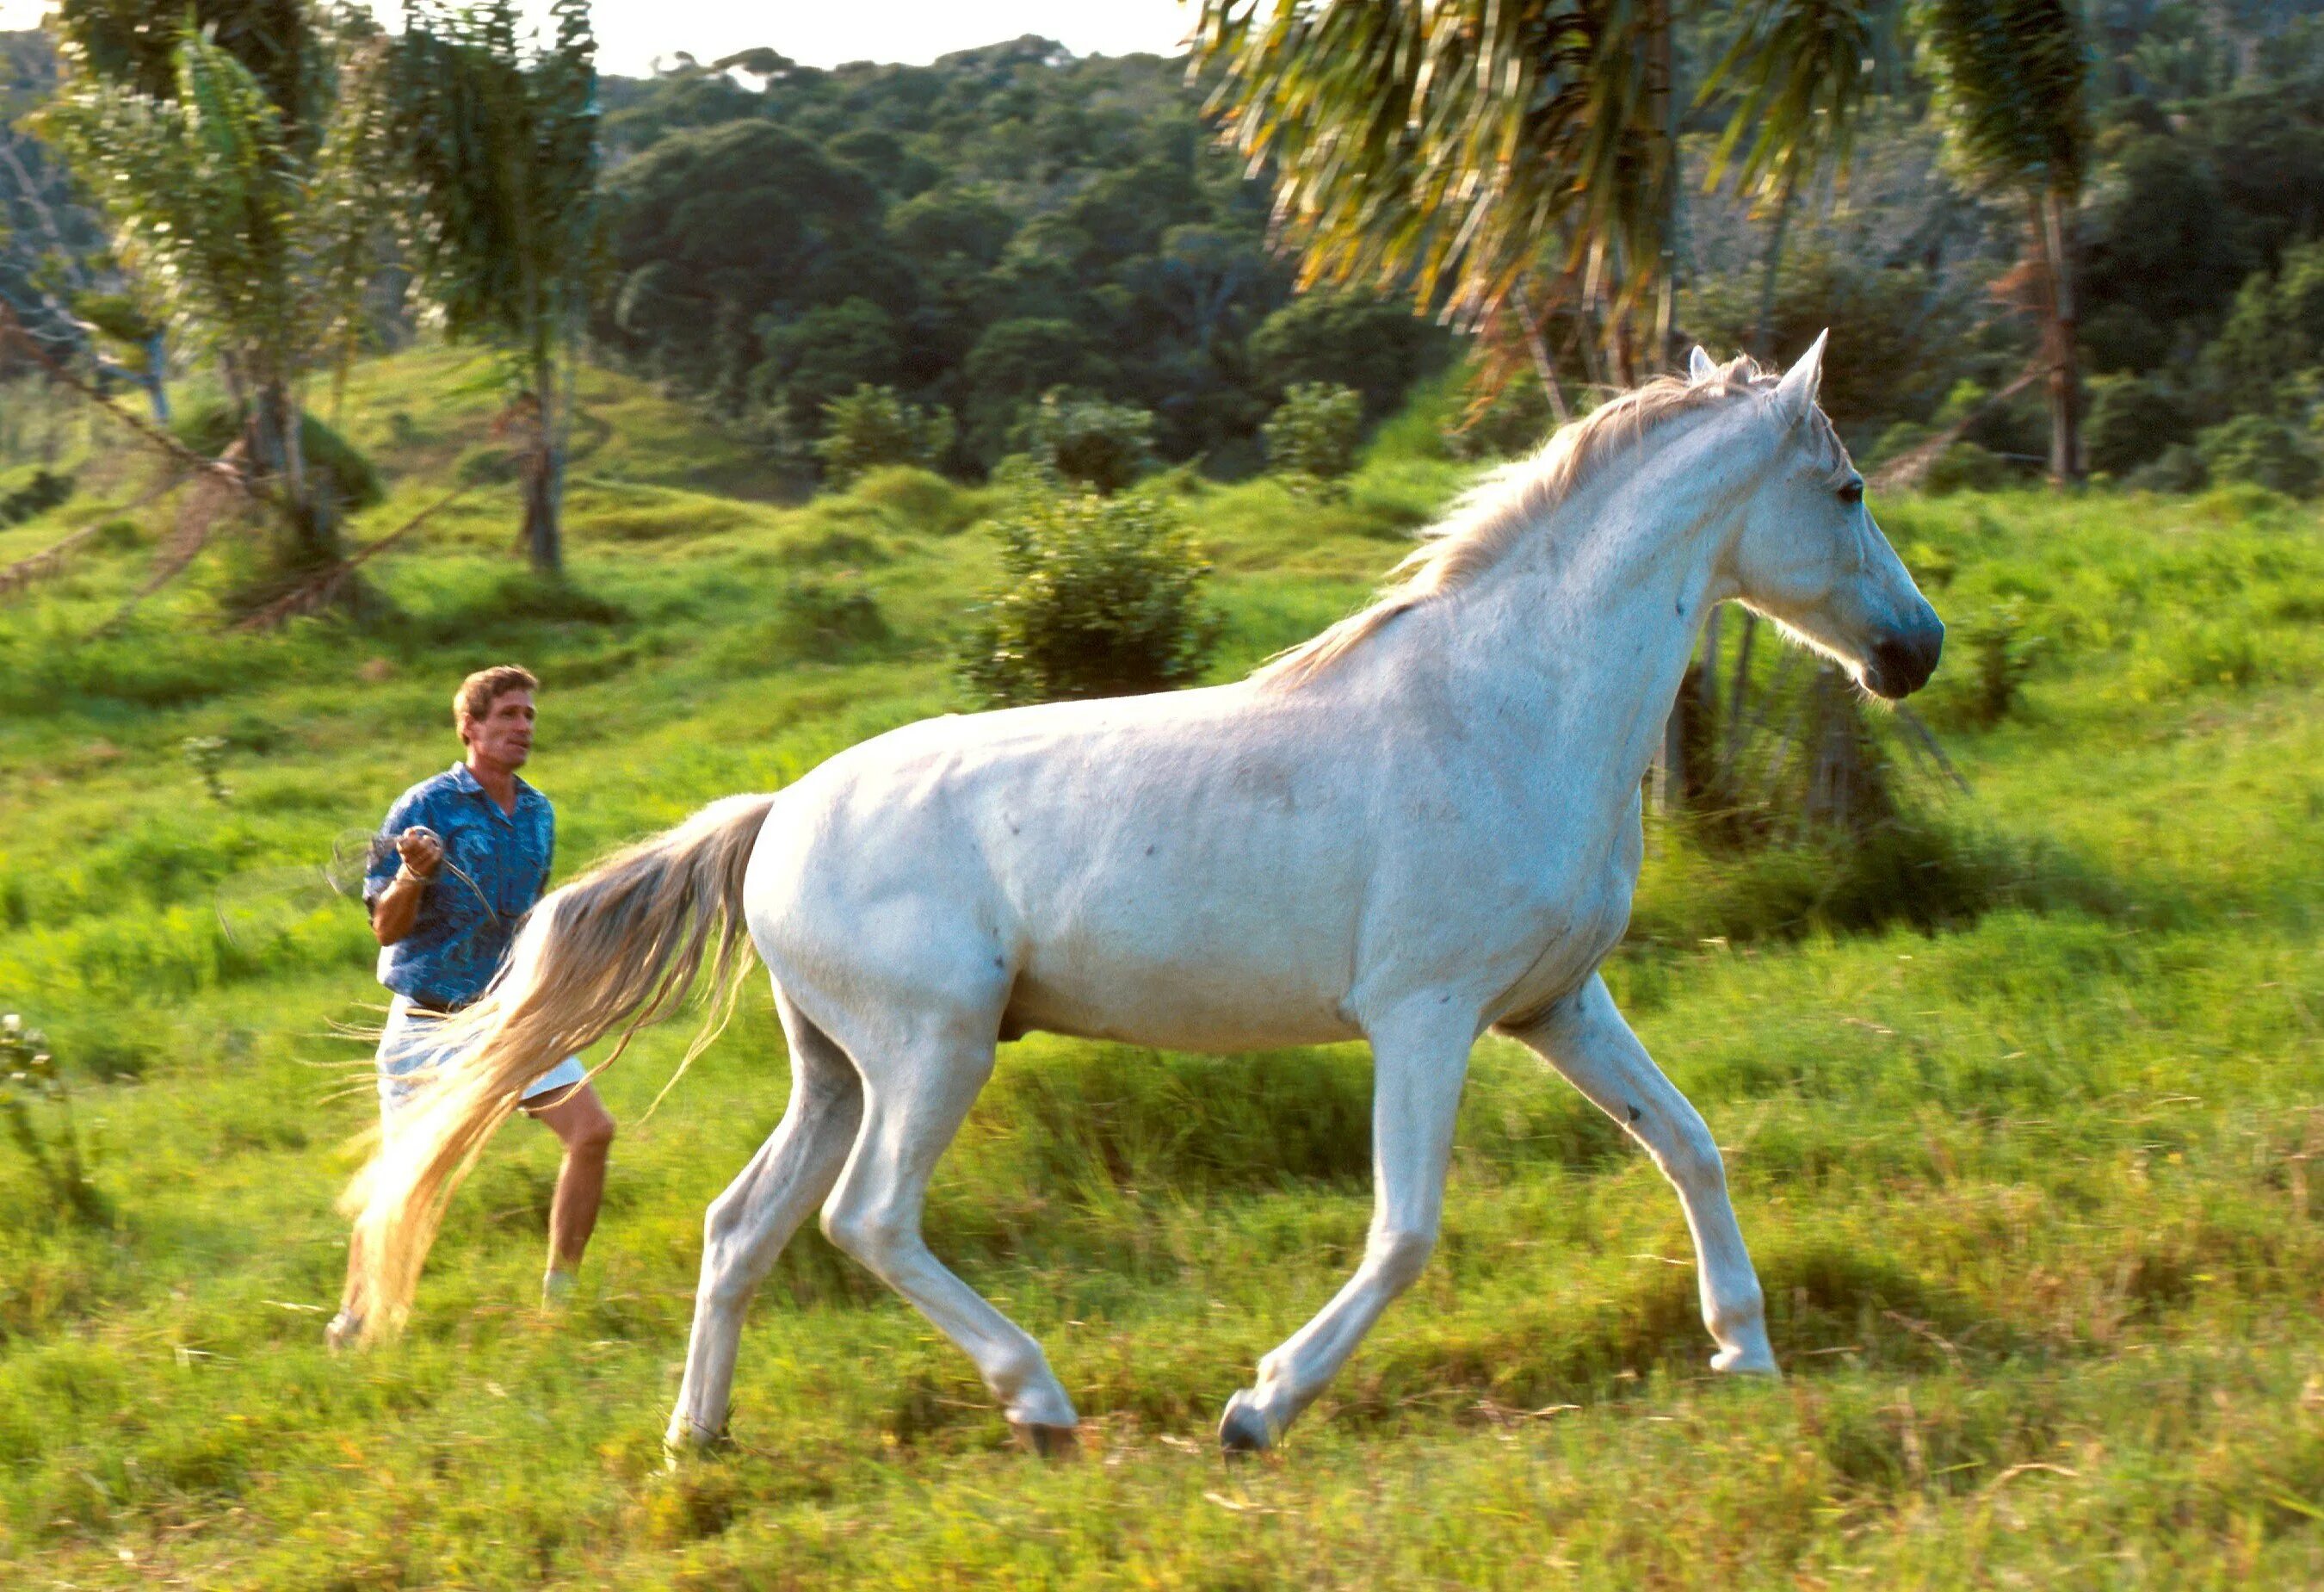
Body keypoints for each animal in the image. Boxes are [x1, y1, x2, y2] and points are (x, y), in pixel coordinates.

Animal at [337, 334, 1943, 1450]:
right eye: (1850, 486)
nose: (1915, 650)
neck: (1504, 705)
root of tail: (779, 813)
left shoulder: (1559, 1001)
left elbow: (1691, 1146)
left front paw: (1745, 1352)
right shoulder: (1426, 1015)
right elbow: (1407, 1228)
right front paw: (1259, 1408)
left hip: (836, 1065)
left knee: (745, 1228)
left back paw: (700, 1438)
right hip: (935, 1046)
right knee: (869, 1222)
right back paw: (1038, 1400)